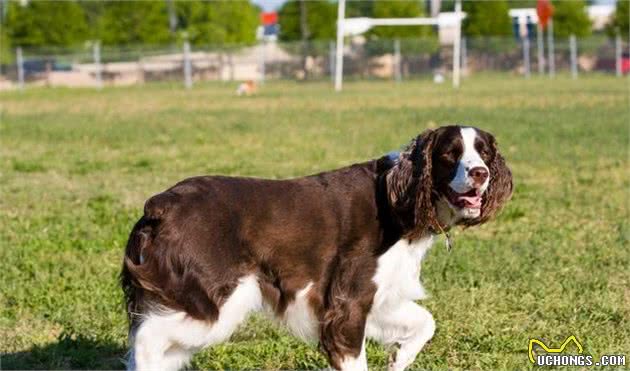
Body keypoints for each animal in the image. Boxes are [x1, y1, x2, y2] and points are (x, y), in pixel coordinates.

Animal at [122, 125, 512, 371]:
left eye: (484, 153)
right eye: (450, 154)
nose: (480, 173)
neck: (397, 199)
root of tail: (160, 204)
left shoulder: (376, 297)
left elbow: (425, 321)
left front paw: (400, 358)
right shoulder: (347, 304)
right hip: (214, 303)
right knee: (146, 339)